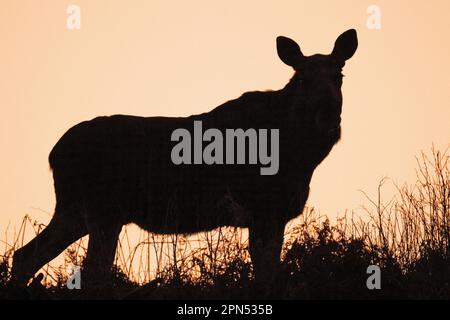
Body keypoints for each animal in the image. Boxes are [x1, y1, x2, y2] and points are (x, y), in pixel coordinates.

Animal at [11, 30, 358, 290]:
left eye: (339, 74)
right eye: (302, 78)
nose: (328, 114)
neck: (301, 157)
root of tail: (54, 152)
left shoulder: (276, 214)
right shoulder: (261, 208)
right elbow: (266, 276)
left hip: (75, 210)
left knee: (25, 255)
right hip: (102, 210)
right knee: (92, 271)